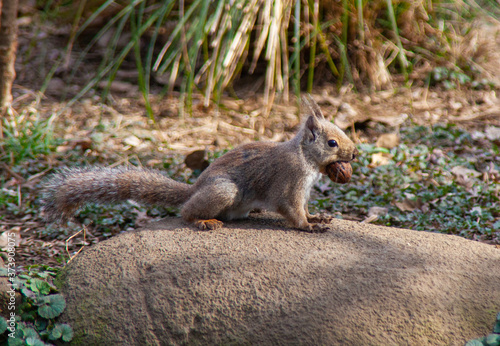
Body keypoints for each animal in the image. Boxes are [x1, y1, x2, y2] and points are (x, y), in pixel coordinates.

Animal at [41, 97, 358, 232]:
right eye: (332, 143)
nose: (354, 154)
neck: (305, 158)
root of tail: (195, 188)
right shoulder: (290, 182)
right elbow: (292, 210)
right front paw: (308, 227)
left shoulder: (304, 191)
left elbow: (305, 208)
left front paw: (318, 218)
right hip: (224, 191)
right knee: (185, 212)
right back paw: (203, 220)